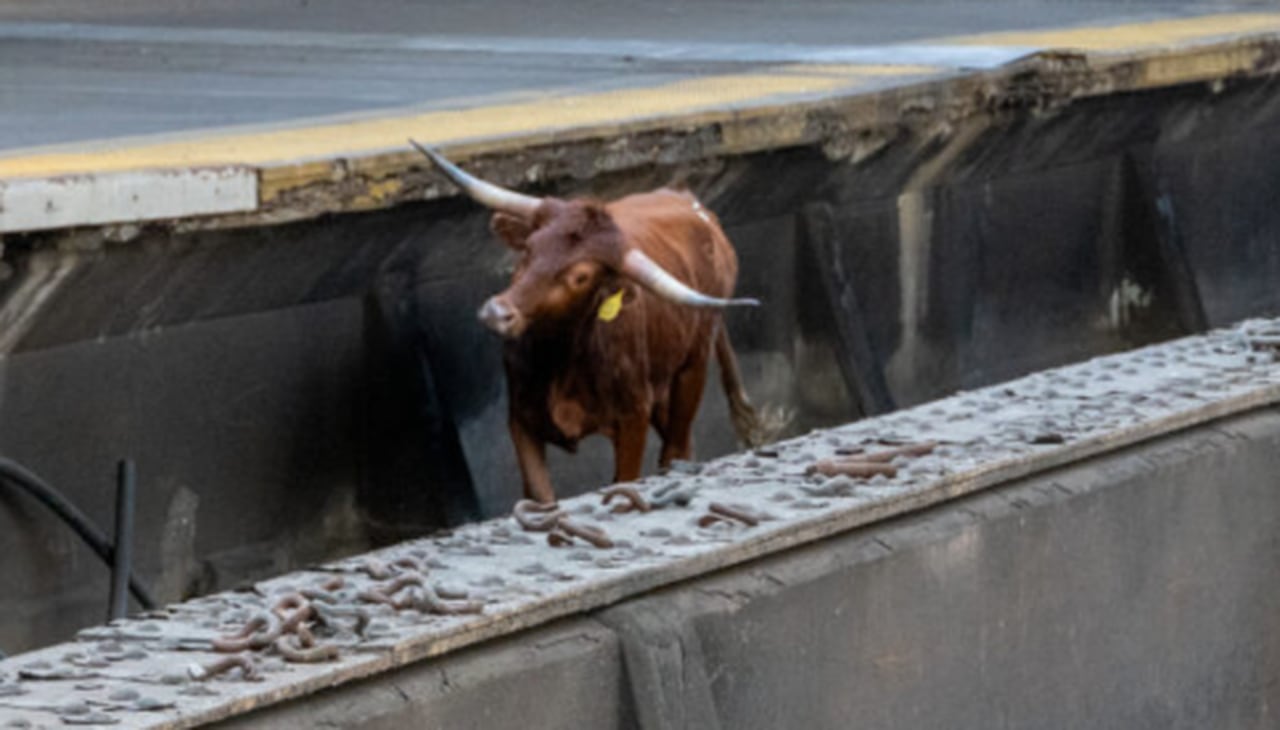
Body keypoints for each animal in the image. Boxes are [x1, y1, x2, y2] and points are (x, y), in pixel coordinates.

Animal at [412, 141, 766, 504]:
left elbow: (625, 478)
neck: (561, 360)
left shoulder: (632, 418)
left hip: (692, 367)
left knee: (676, 447)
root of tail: (690, 202)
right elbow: (541, 494)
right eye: (529, 248)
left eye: (580, 277)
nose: (498, 313)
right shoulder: (521, 419)